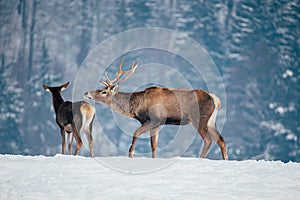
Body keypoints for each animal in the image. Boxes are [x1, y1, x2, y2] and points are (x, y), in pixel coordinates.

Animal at [84, 61, 227, 159]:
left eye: (103, 91)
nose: (86, 92)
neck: (135, 107)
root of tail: (216, 100)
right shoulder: (156, 124)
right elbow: (154, 145)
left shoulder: (154, 119)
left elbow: (136, 133)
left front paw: (131, 154)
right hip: (211, 121)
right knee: (221, 140)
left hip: (199, 119)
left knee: (208, 139)